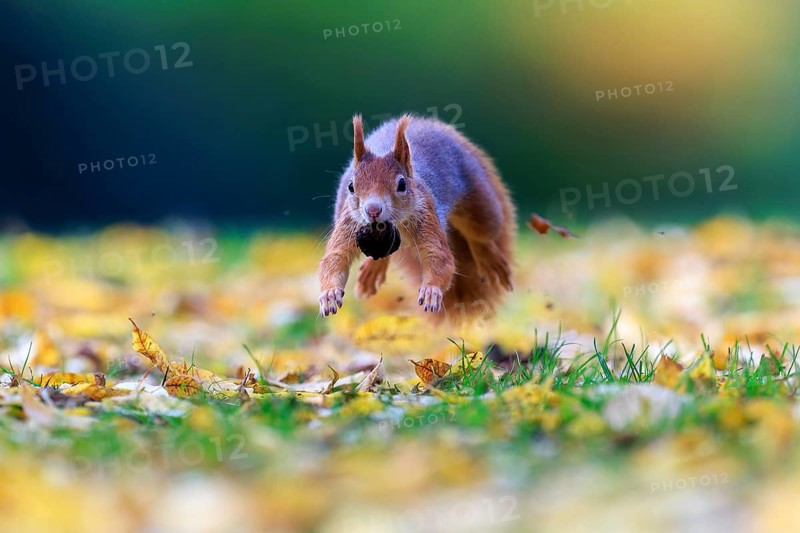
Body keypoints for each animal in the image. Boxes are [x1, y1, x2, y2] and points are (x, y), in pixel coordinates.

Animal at [318, 114, 516, 323]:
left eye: (402, 185)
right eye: (351, 186)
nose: (372, 210)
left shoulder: (427, 216)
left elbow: (440, 258)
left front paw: (431, 290)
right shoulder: (349, 223)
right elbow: (335, 258)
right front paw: (329, 294)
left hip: (480, 204)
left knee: (480, 236)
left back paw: (490, 260)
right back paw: (373, 269)